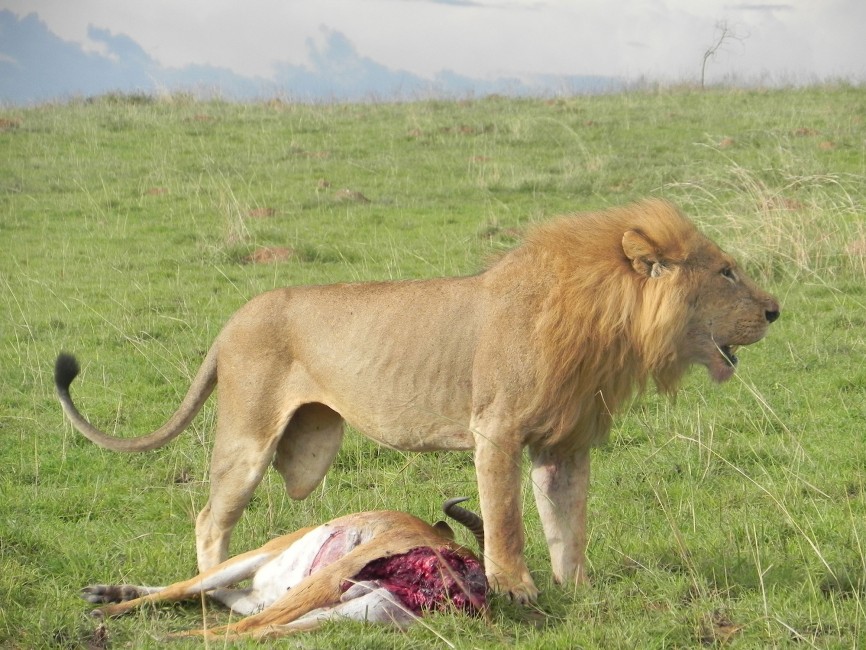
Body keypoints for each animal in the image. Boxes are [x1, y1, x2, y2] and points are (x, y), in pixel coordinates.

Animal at [55, 198, 780, 603]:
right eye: (726, 273)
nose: (776, 310)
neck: (610, 324)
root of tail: (232, 319)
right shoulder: (496, 429)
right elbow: (508, 519)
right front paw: (515, 588)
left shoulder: (564, 446)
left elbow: (567, 524)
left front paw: (577, 590)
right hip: (247, 433)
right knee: (210, 517)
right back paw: (221, 582)